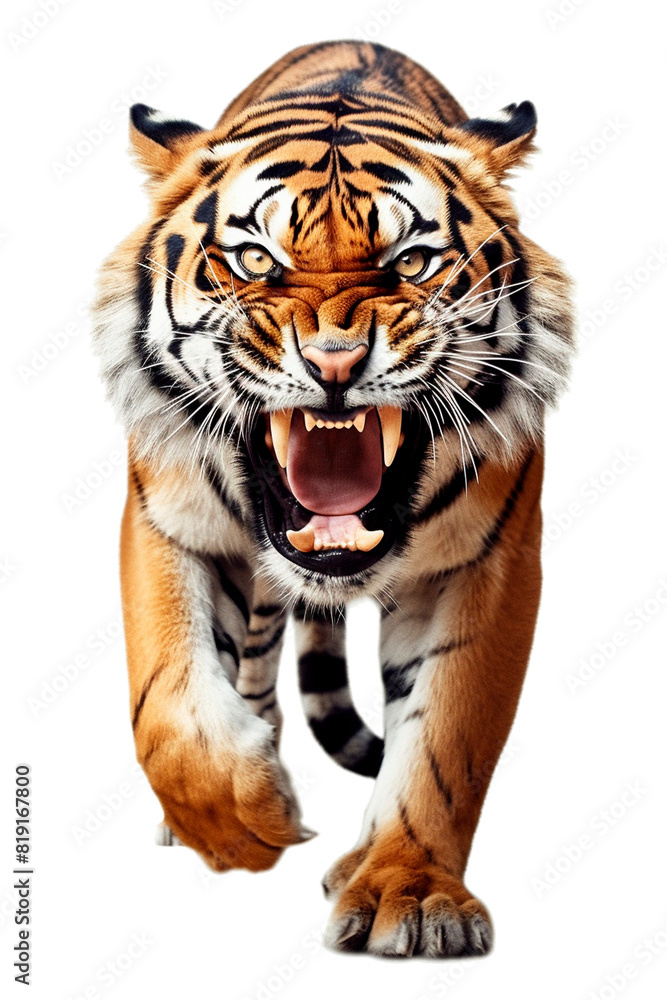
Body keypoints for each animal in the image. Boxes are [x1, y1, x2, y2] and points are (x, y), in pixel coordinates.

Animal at [92, 40, 574, 958]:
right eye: (256, 262)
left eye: (409, 264)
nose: (336, 361)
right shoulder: (167, 521)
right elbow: (168, 703)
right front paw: (242, 819)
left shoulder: (487, 564)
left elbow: (444, 738)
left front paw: (410, 893)